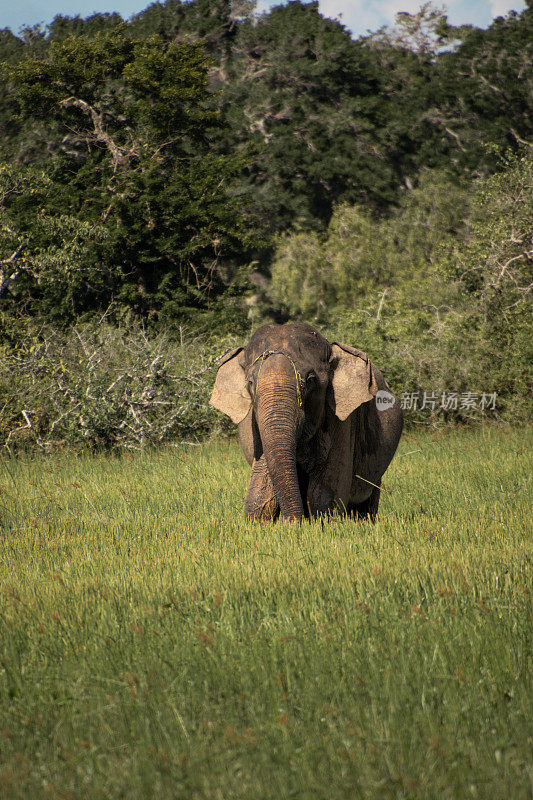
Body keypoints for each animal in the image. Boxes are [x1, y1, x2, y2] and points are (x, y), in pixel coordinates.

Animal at [210, 322, 402, 520]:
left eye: (310, 380)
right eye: (250, 383)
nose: (294, 523)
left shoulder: (342, 421)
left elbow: (325, 496)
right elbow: (262, 495)